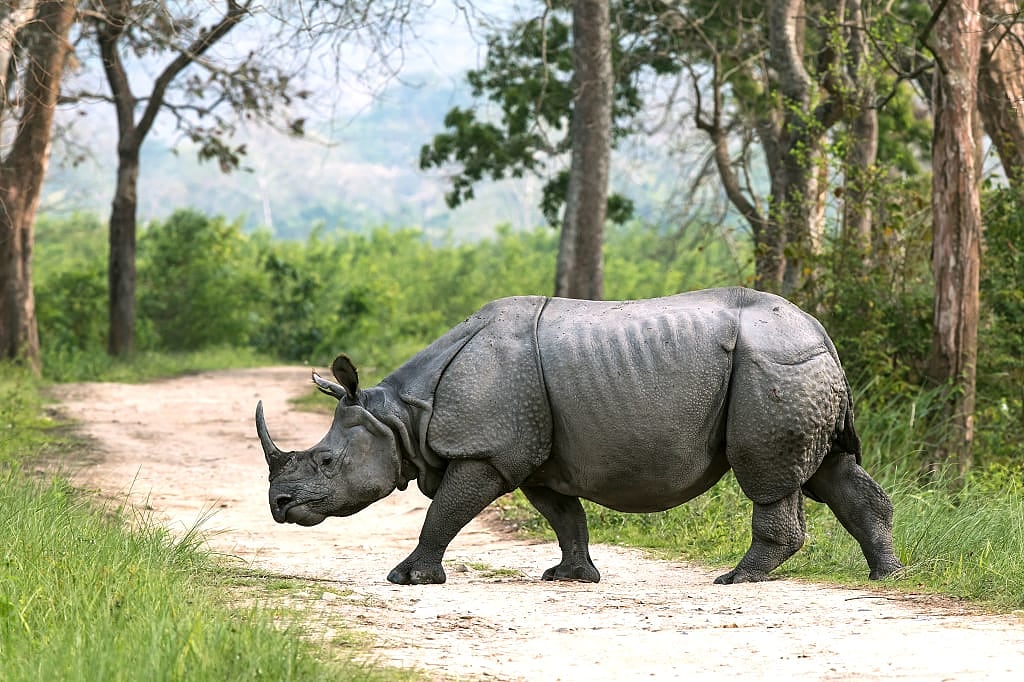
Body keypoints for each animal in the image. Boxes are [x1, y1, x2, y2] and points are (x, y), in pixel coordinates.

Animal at [255, 287, 903, 585]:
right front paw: (571, 577)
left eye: (326, 464)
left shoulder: (488, 451)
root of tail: (819, 329)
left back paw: (736, 580)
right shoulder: (533, 454)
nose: (279, 505)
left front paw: (409, 579)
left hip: (776, 367)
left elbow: (444, 512)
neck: (400, 417)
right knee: (830, 470)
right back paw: (886, 575)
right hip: (800, 370)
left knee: (770, 476)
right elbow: (563, 514)